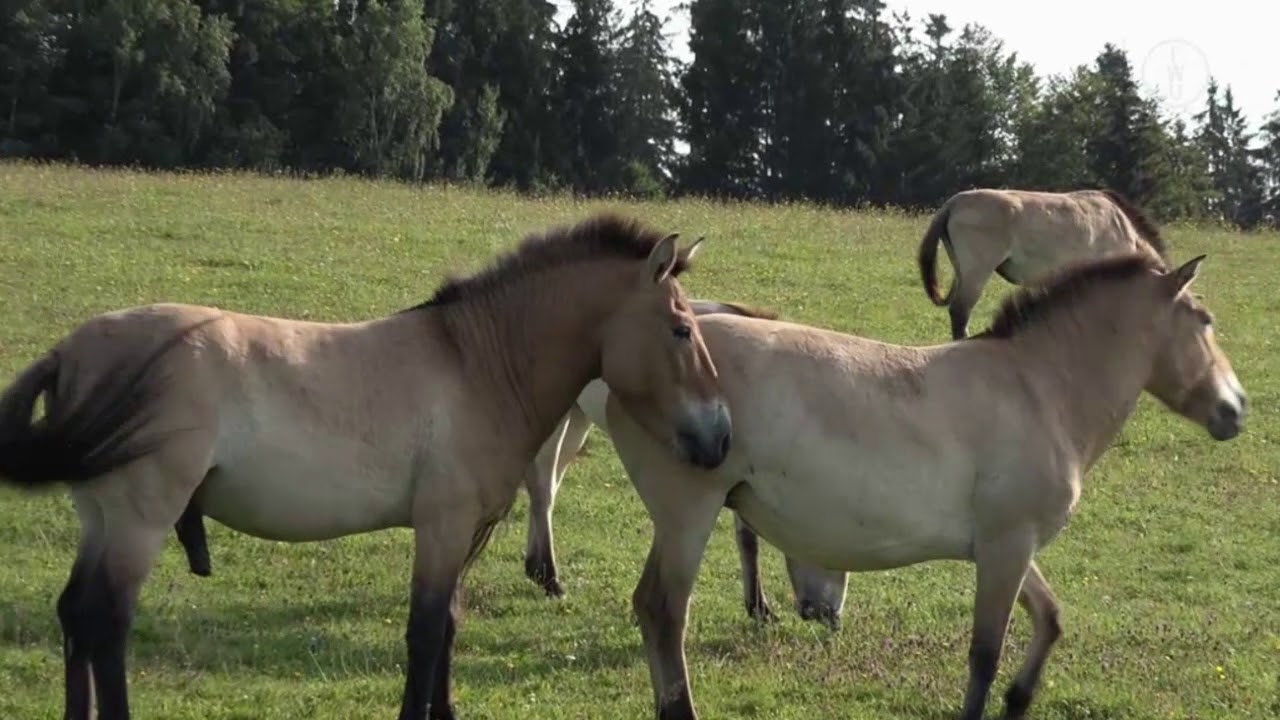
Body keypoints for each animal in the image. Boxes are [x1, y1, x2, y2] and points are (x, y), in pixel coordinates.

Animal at [0, 212, 734, 720]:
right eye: (681, 330)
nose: (721, 436)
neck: (476, 364)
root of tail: (72, 351)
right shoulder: (440, 526)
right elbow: (425, 633)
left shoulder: (462, 534)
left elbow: (448, 628)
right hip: (140, 520)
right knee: (107, 623)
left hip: (101, 516)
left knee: (76, 615)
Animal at [520, 300, 849, 629]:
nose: (829, 615)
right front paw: (759, 607)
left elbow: (747, 538)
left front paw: (758, 607)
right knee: (542, 484)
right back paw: (550, 578)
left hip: (578, 416)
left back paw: (536, 568)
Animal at [602, 252, 1246, 720]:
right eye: (1206, 322)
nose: (1236, 408)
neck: (1036, 388)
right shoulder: (1006, 548)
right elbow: (984, 655)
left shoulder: (1008, 546)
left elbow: (1050, 619)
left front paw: (1018, 701)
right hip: (688, 516)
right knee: (663, 612)